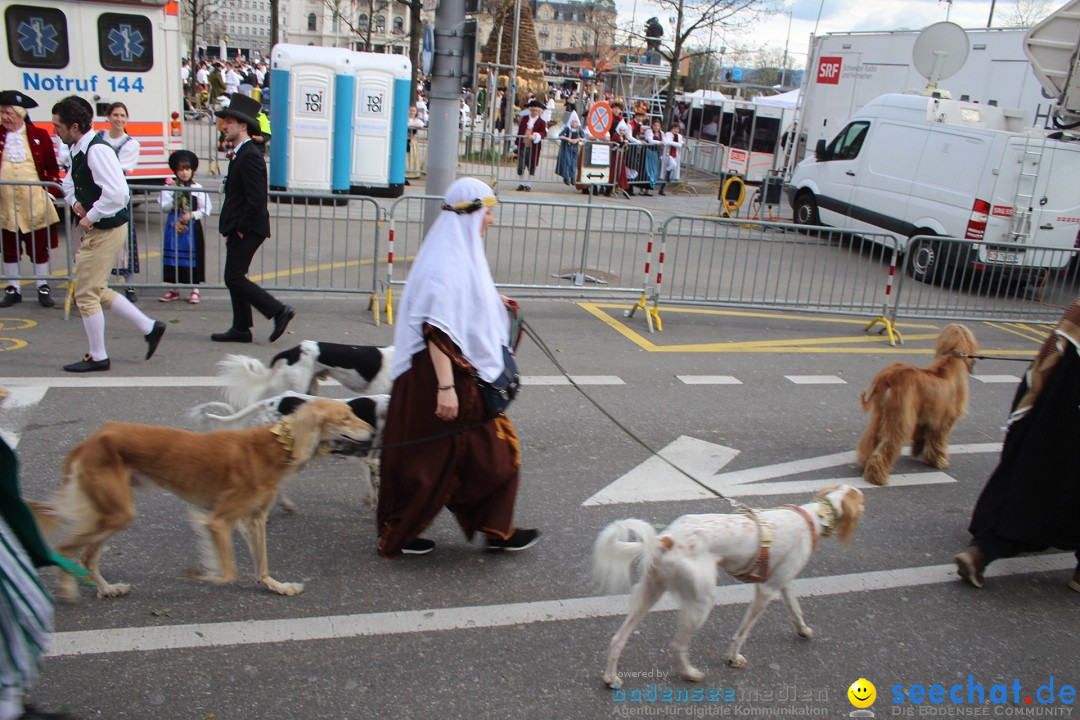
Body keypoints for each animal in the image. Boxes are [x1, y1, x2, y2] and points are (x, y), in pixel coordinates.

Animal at [32, 399, 371, 604]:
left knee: (88, 556)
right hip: (115, 512)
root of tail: (89, 440)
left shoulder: (253, 519)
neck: (275, 446)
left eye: (353, 413)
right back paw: (69, 590)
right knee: (65, 548)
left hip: (113, 512)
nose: (371, 430)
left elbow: (261, 564)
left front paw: (277, 586)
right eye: (345, 418)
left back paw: (106, 588)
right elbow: (229, 572)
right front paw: (199, 573)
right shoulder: (218, 520)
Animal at [596, 483, 864, 686]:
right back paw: (690, 673)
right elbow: (742, 633)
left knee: (618, 639)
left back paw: (611, 678)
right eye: (862, 501)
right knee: (677, 644)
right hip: (702, 601)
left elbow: (796, 611)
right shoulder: (765, 590)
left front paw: (804, 630)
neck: (814, 516)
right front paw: (733, 658)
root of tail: (666, 538)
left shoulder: (784, 582)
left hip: (650, 593)